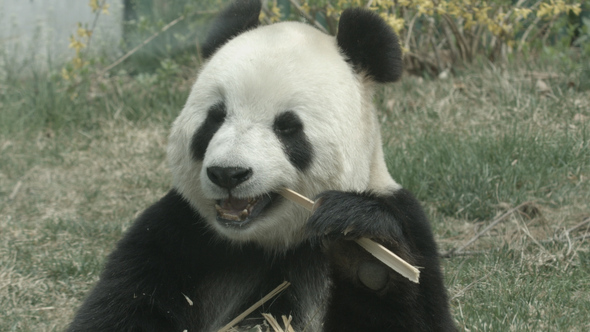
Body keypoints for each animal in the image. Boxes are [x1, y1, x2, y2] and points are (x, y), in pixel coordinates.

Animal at [68, 0, 458, 332]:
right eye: (215, 117)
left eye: (287, 127)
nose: (228, 173)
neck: (270, 241)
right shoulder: (178, 234)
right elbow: (122, 309)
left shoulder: (406, 220)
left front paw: (365, 253)